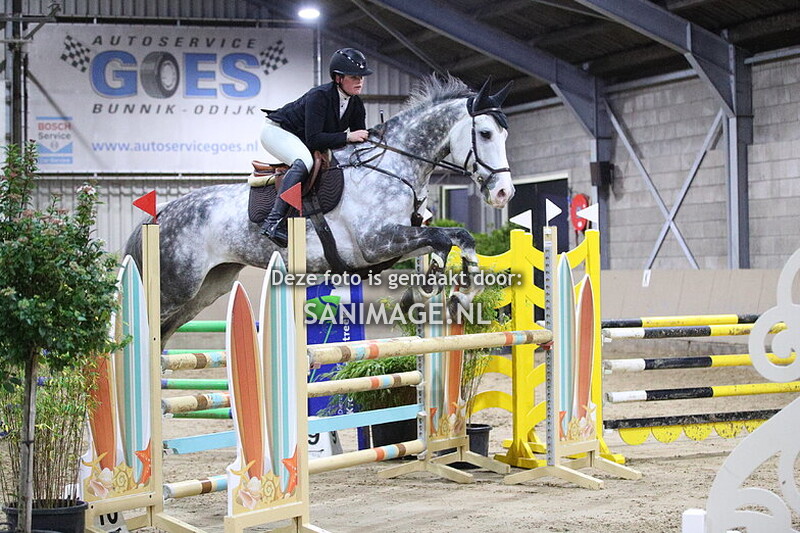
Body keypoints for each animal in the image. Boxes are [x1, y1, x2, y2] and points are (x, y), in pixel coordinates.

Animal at [124, 75, 516, 347]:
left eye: (504, 136)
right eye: (484, 133)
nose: (503, 193)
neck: (394, 166)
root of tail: (160, 214)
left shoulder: (395, 245)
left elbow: (455, 237)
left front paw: (454, 294)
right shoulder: (376, 243)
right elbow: (444, 238)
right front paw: (434, 290)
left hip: (208, 287)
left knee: (164, 332)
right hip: (175, 286)